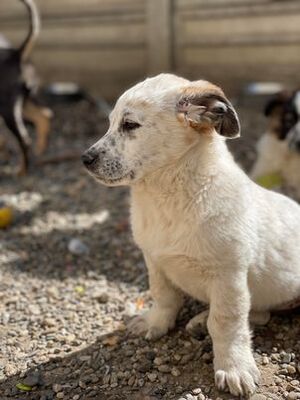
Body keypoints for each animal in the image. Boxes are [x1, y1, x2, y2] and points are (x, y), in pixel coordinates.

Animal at [81, 72, 300, 396]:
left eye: (130, 125)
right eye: (111, 122)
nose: (85, 159)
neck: (167, 196)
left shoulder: (228, 277)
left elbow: (226, 322)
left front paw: (233, 367)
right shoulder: (155, 260)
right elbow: (164, 296)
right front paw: (156, 322)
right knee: (260, 312)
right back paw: (199, 320)